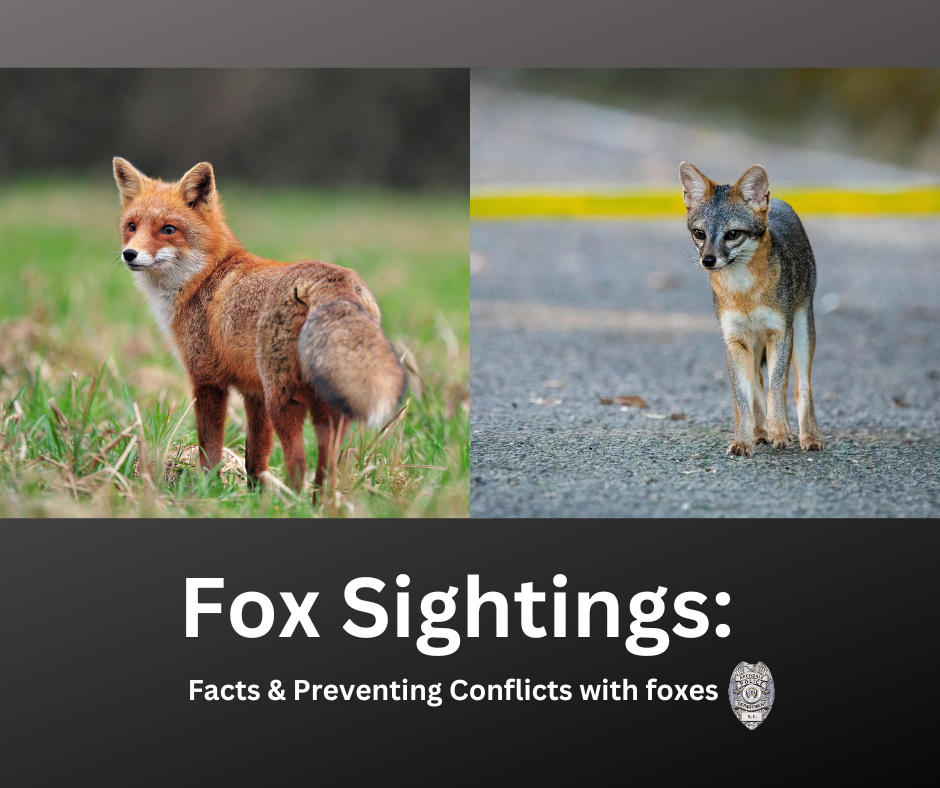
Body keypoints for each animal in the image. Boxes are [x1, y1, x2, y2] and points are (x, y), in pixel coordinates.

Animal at [112, 157, 407, 494]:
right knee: (327, 468)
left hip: (285, 400)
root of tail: (331, 279)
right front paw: (253, 495)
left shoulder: (207, 380)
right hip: (326, 407)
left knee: (298, 462)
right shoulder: (254, 392)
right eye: (132, 227)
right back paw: (318, 501)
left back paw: (290, 502)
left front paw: (207, 490)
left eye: (168, 230)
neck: (205, 277)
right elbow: (255, 456)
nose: (129, 254)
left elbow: (210, 448)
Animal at [678, 161, 823, 457]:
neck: (745, 293)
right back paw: (759, 432)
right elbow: (742, 399)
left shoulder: (781, 333)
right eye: (700, 233)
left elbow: (777, 387)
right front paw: (743, 440)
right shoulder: (735, 340)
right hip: (755, 345)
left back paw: (809, 436)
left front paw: (780, 430)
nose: (708, 260)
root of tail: (779, 202)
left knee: (802, 386)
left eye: (733, 234)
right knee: (756, 382)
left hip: (803, 332)